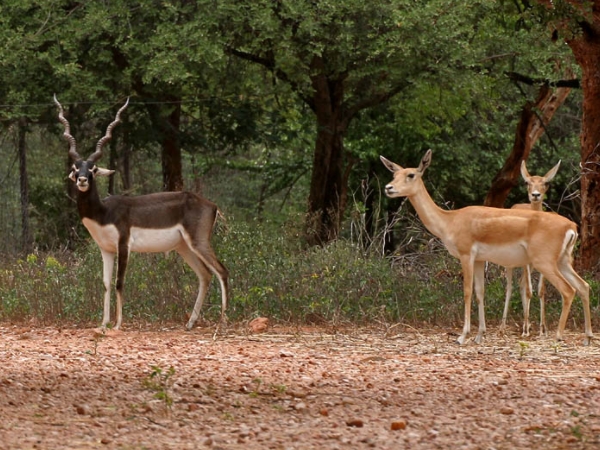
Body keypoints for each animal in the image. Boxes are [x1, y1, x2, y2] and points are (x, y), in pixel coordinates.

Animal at [54, 95, 227, 330]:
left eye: (93, 168)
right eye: (75, 168)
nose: (82, 180)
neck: (104, 212)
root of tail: (212, 205)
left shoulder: (124, 245)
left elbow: (119, 282)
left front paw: (118, 324)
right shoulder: (106, 250)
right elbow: (106, 283)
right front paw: (103, 324)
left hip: (198, 242)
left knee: (221, 271)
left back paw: (223, 321)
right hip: (183, 247)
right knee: (205, 275)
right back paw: (190, 323)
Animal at [502, 160, 564, 336]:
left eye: (546, 183)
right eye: (527, 182)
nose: (535, 195)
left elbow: (540, 290)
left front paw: (543, 329)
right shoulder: (526, 262)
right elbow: (528, 290)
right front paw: (525, 330)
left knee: (521, 284)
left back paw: (528, 324)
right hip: (511, 262)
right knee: (511, 287)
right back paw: (504, 326)